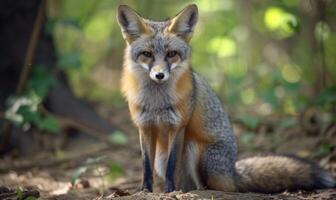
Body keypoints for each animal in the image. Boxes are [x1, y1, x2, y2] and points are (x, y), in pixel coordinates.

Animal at [116, 3, 336, 194]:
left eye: (171, 54)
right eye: (147, 54)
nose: (159, 75)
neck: (157, 104)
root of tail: (233, 171)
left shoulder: (178, 126)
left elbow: (172, 165)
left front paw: (169, 190)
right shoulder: (145, 127)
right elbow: (145, 166)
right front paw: (144, 190)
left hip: (197, 151)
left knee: (215, 187)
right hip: (163, 159)